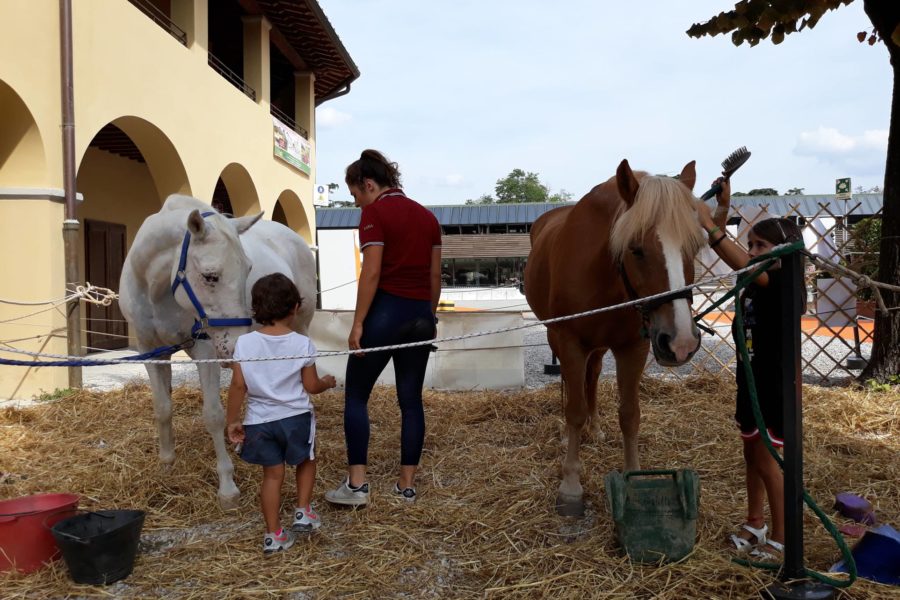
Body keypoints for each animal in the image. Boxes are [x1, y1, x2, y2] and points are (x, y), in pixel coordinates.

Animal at [119, 196, 316, 506]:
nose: (235, 346)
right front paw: (166, 463)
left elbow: (212, 415)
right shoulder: (151, 351)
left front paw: (227, 486)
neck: (156, 291)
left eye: (248, 269)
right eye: (210, 276)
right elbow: (162, 408)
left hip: (299, 326)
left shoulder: (205, 349)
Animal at [524, 159, 708, 516]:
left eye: (693, 247)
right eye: (636, 249)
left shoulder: (633, 347)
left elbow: (629, 414)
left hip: (598, 347)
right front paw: (571, 486)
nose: (681, 343)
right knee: (571, 388)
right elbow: (574, 410)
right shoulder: (569, 342)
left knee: (593, 377)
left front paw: (633, 476)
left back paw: (595, 428)